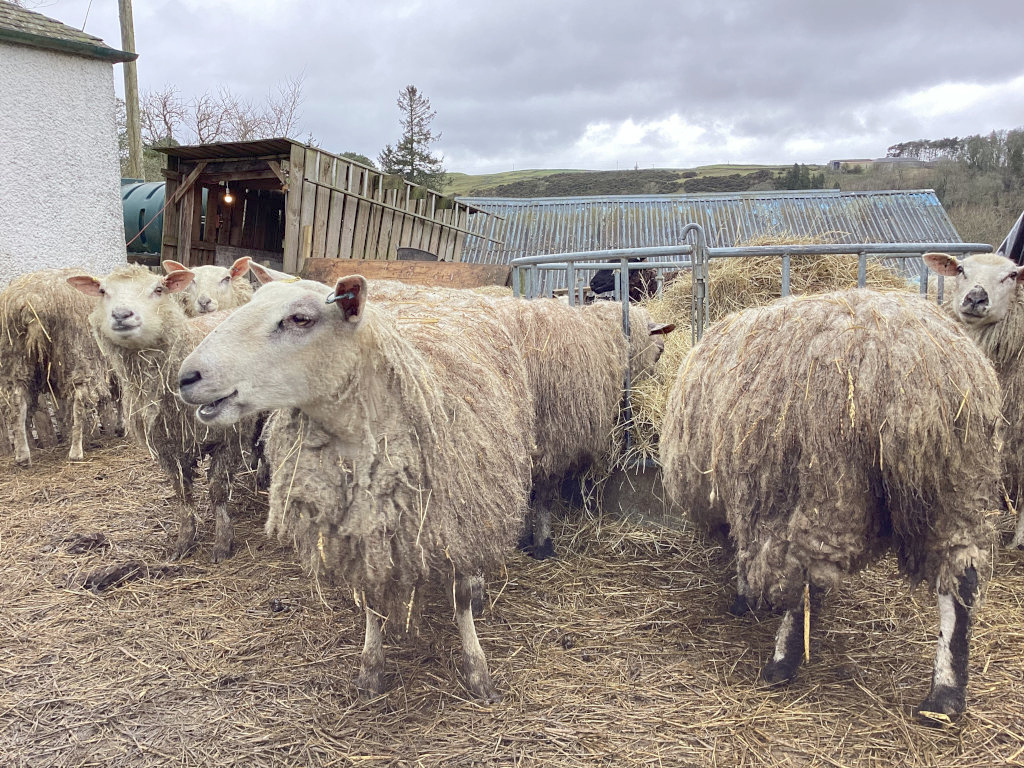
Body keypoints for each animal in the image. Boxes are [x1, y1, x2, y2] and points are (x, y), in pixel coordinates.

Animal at [0, 267, 118, 466]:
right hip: (77, 351)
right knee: (79, 400)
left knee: (17, 402)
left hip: (14, 356)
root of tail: (31, 302)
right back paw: (76, 452)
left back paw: (23, 456)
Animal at [67, 265, 260, 562]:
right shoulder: (166, 445)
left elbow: (217, 490)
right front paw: (184, 540)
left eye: (158, 289)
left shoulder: (230, 435)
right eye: (102, 291)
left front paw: (222, 542)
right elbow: (182, 493)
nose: (121, 314)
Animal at [176, 275, 533, 701]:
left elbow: (460, 596)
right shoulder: (361, 530)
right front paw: (371, 668)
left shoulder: (458, 519)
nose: (186, 378)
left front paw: (477, 670)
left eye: (300, 319)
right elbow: (371, 599)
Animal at [660, 289, 1001, 721]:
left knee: (808, 576)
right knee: (961, 578)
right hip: (956, 486)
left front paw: (744, 599)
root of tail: (910, 377)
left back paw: (781, 662)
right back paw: (945, 695)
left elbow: (745, 553)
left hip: (828, 483)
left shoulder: (749, 495)